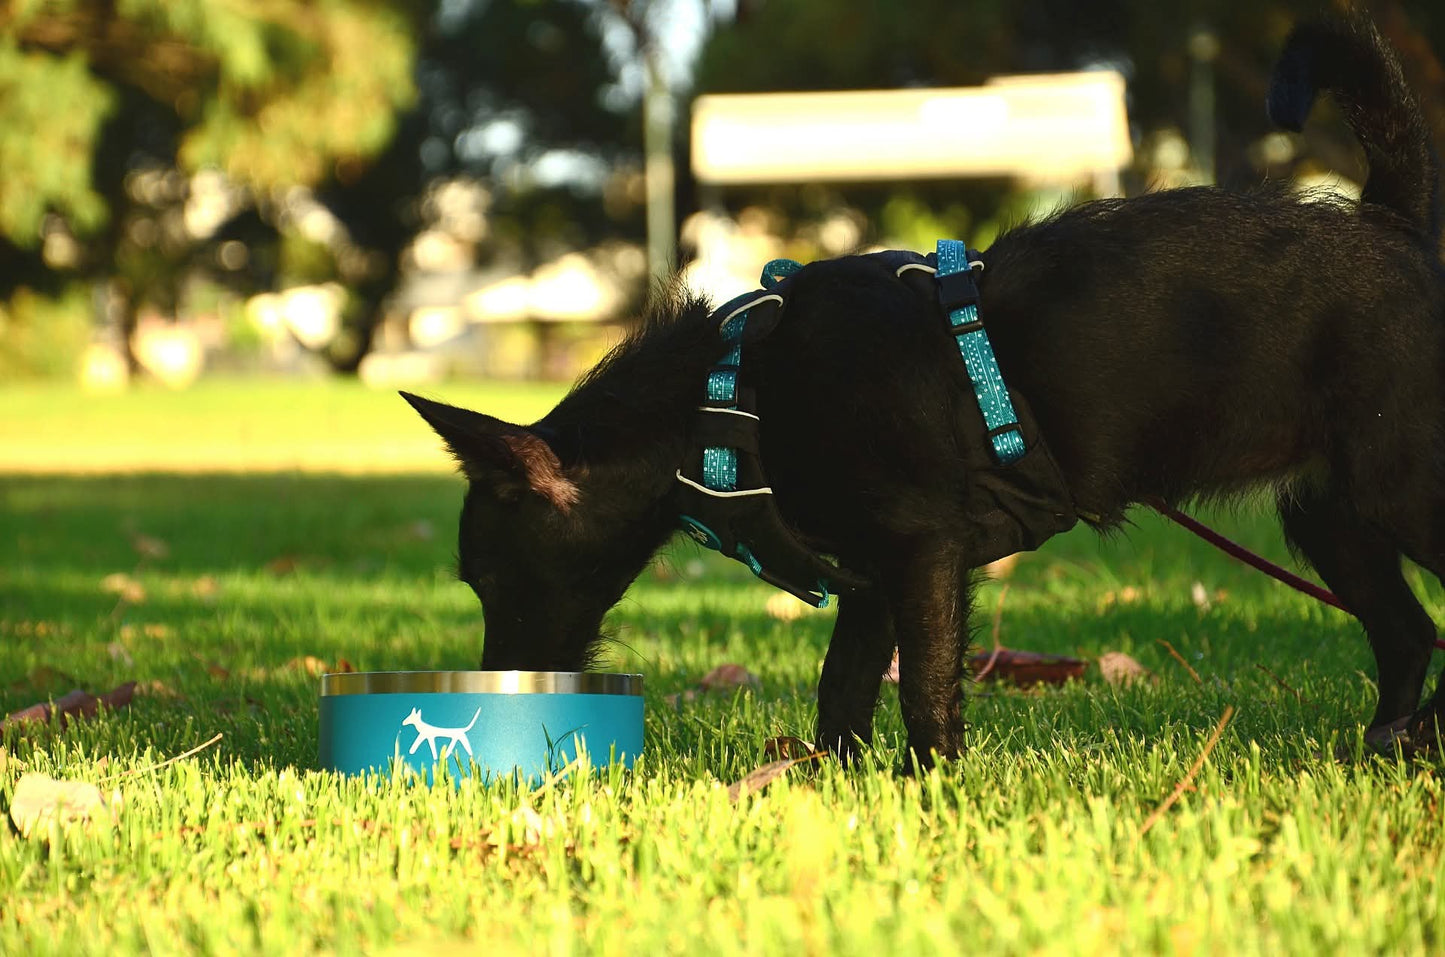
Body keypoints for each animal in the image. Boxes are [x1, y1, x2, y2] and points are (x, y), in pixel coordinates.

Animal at [404, 18, 1445, 769]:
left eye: (493, 580)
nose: (491, 683)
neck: (725, 398)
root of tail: (1387, 222)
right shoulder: (871, 583)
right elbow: (842, 690)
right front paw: (826, 783)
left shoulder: (922, 554)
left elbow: (926, 689)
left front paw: (931, 790)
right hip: (1331, 517)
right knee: (1406, 634)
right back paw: (1387, 749)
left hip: (1401, 491)